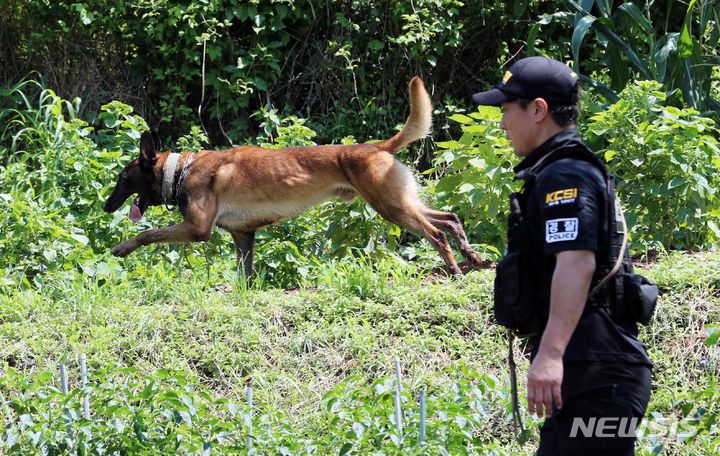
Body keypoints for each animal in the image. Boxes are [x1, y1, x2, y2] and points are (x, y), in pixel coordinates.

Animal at [102, 77, 484, 278]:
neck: (181, 171)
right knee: (449, 218)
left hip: (390, 206)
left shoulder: (197, 230)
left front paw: (122, 247)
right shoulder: (243, 236)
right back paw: (474, 258)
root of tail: (375, 146)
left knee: (436, 233)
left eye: (122, 178)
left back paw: (454, 268)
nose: (106, 207)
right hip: (402, 201)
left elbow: (148, 233)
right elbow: (245, 275)